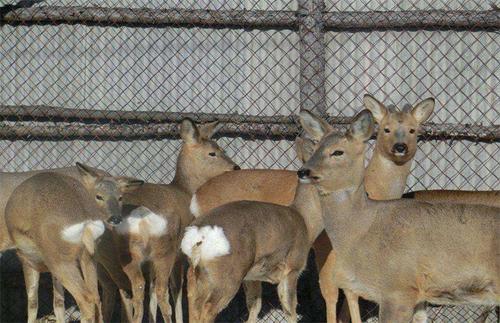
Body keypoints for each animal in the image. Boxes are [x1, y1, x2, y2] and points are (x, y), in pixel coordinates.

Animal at [4, 163, 144, 323]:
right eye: (99, 196)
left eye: (121, 198)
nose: (115, 218)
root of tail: (86, 220)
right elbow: (58, 301)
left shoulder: (26, 258)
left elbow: (33, 302)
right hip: (89, 256)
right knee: (97, 295)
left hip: (59, 257)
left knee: (88, 297)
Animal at [182, 135, 322, 322]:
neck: (305, 219)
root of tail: (198, 237)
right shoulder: (292, 268)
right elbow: (290, 311)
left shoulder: (252, 277)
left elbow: (255, 306)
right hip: (226, 278)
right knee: (207, 310)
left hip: (198, 276)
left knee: (192, 302)